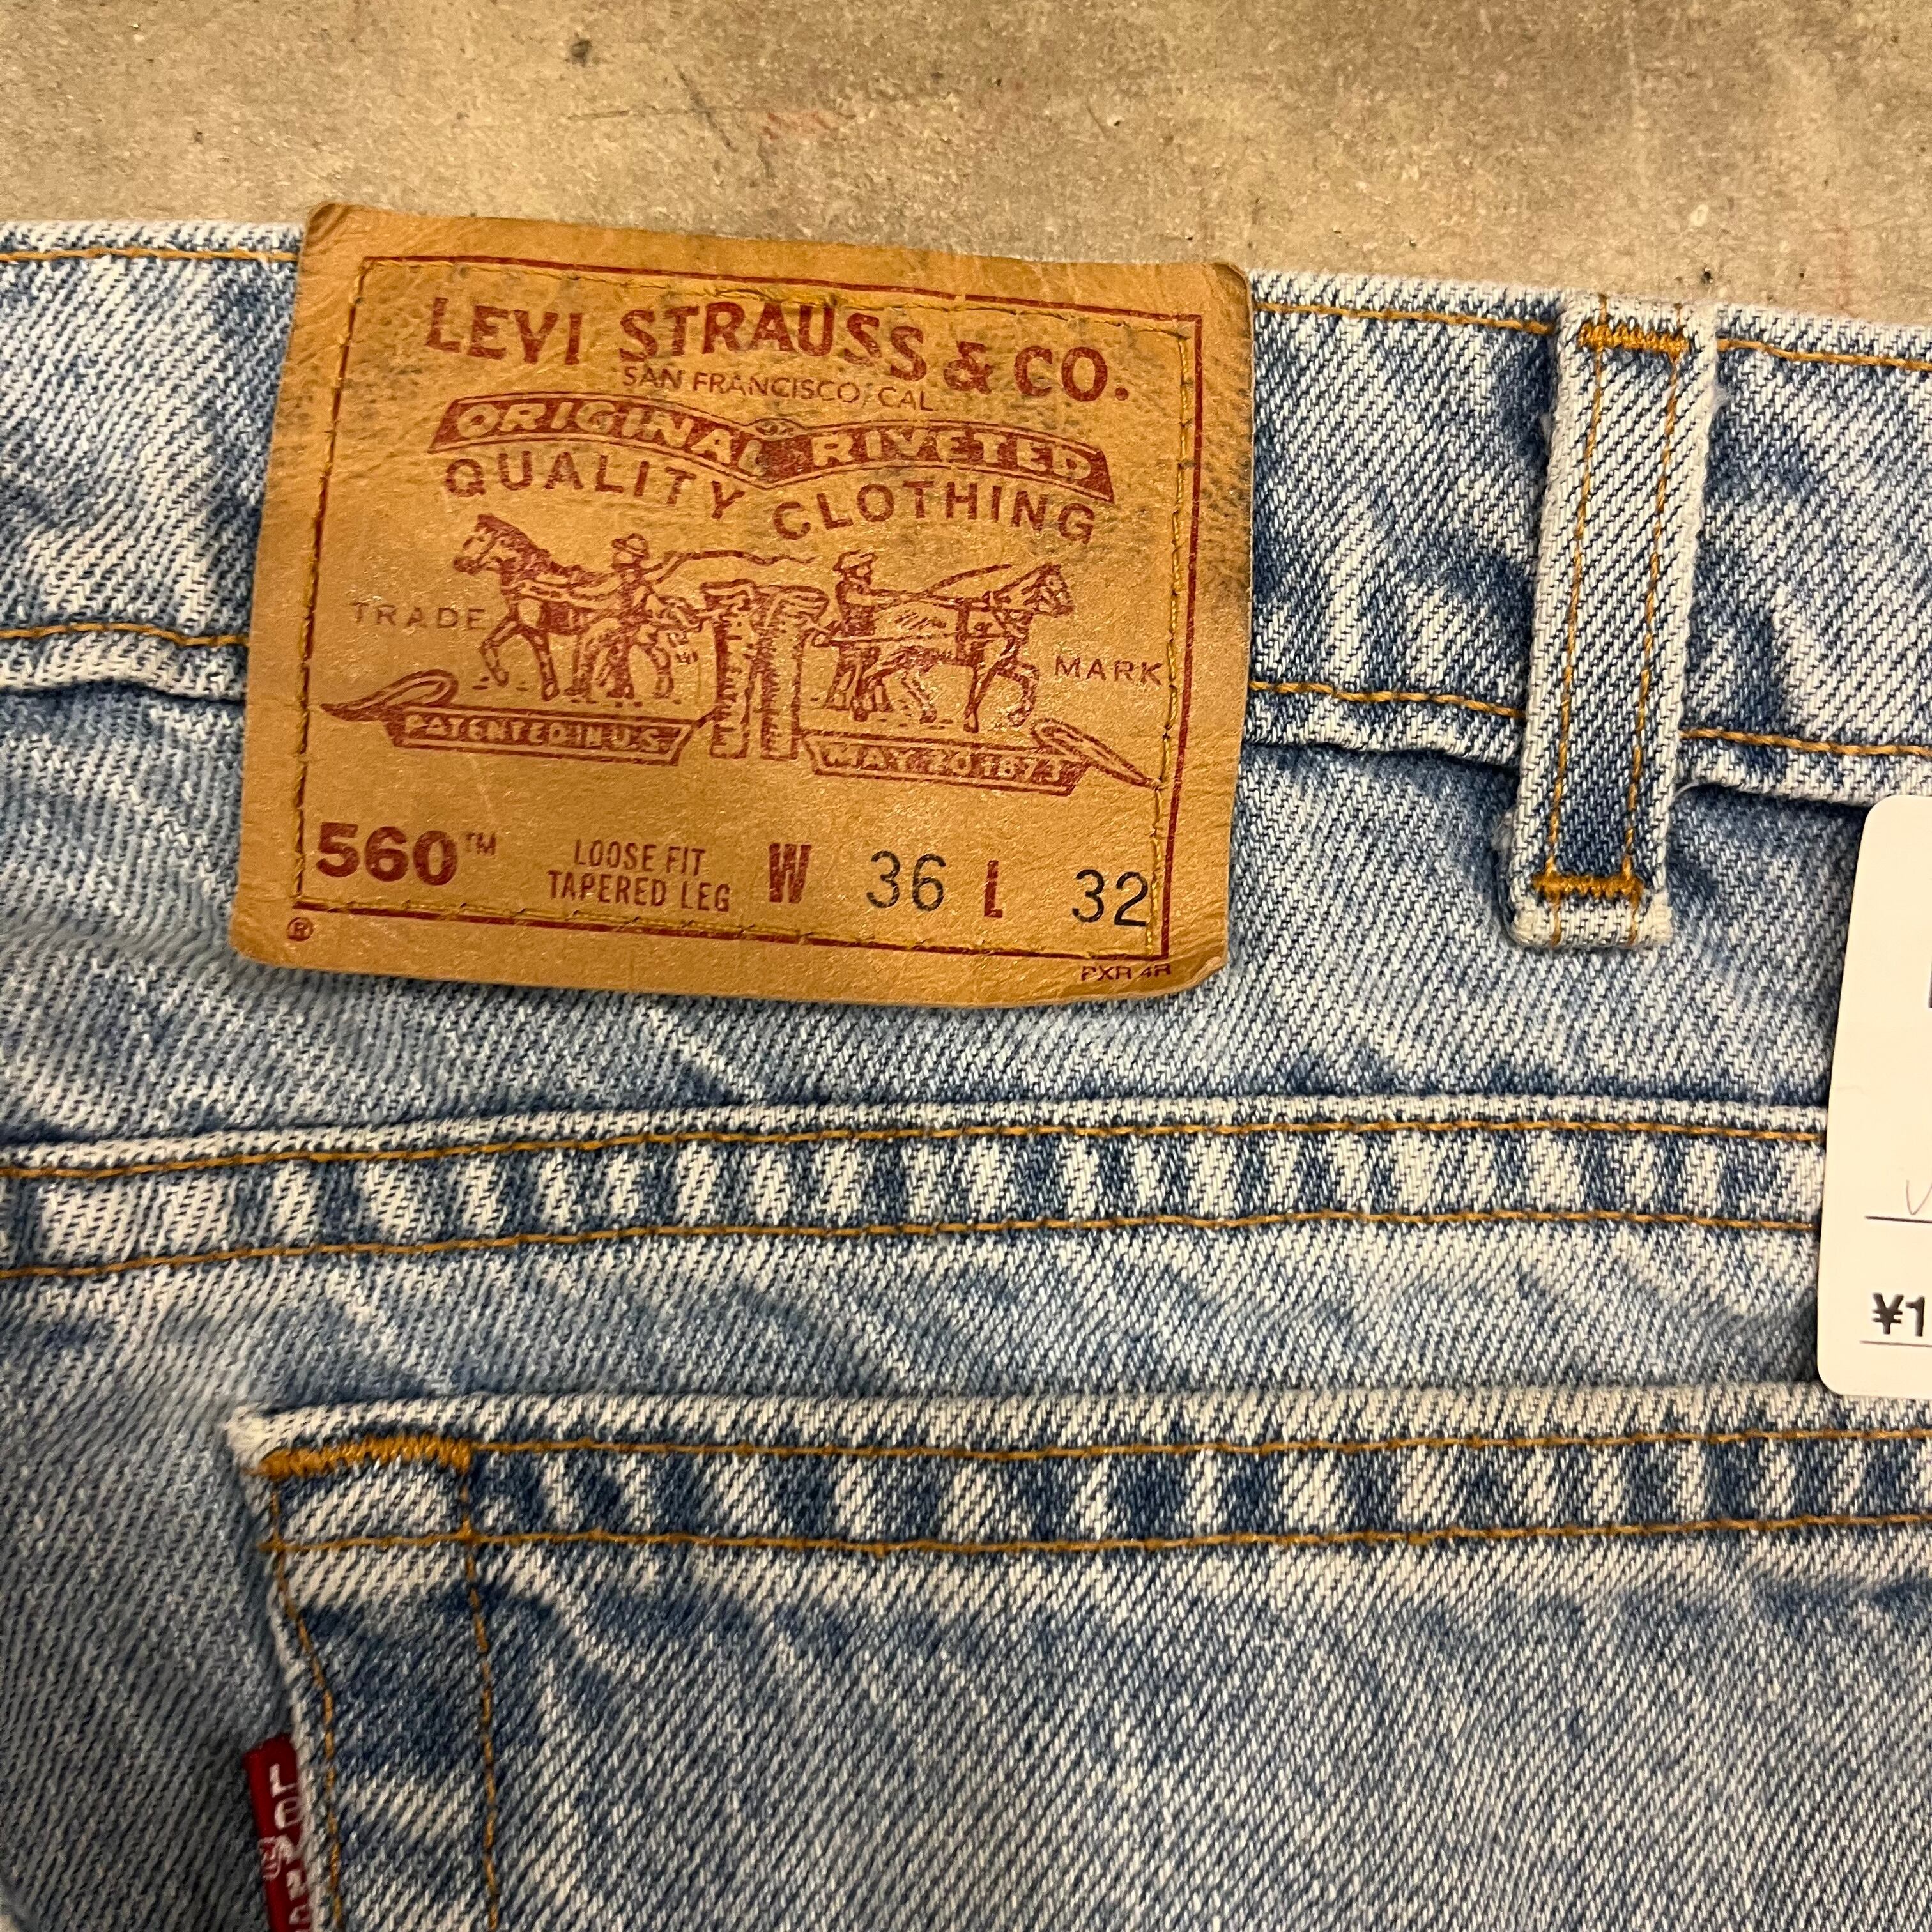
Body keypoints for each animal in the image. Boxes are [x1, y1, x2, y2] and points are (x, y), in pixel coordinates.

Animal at [846, 562, 1072, 733]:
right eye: (1053, 584)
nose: (1069, 607)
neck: (1003, 615)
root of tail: (885, 609)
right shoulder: (986, 662)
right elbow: (979, 688)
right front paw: (971, 723)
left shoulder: (1005, 662)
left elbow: (1032, 675)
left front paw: (1017, 716)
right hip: (894, 653)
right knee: (869, 675)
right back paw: (860, 711)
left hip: (918, 657)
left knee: (906, 678)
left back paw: (928, 713)